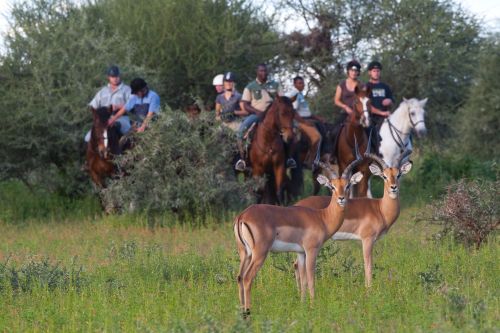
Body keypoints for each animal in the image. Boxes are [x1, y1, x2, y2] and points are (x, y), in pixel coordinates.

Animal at [234, 147, 364, 316]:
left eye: (347, 185)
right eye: (332, 186)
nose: (341, 198)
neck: (322, 217)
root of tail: (243, 215)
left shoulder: (301, 253)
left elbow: (302, 279)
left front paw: (303, 305)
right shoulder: (311, 250)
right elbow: (310, 278)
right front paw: (313, 305)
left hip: (245, 253)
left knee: (239, 277)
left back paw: (242, 311)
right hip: (259, 253)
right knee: (247, 278)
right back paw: (248, 311)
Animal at [294, 139, 412, 286]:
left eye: (398, 175)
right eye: (384, 176)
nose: (393, 187)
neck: (380, 209)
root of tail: (295, 206)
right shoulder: (367, 239)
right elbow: (368, 266)